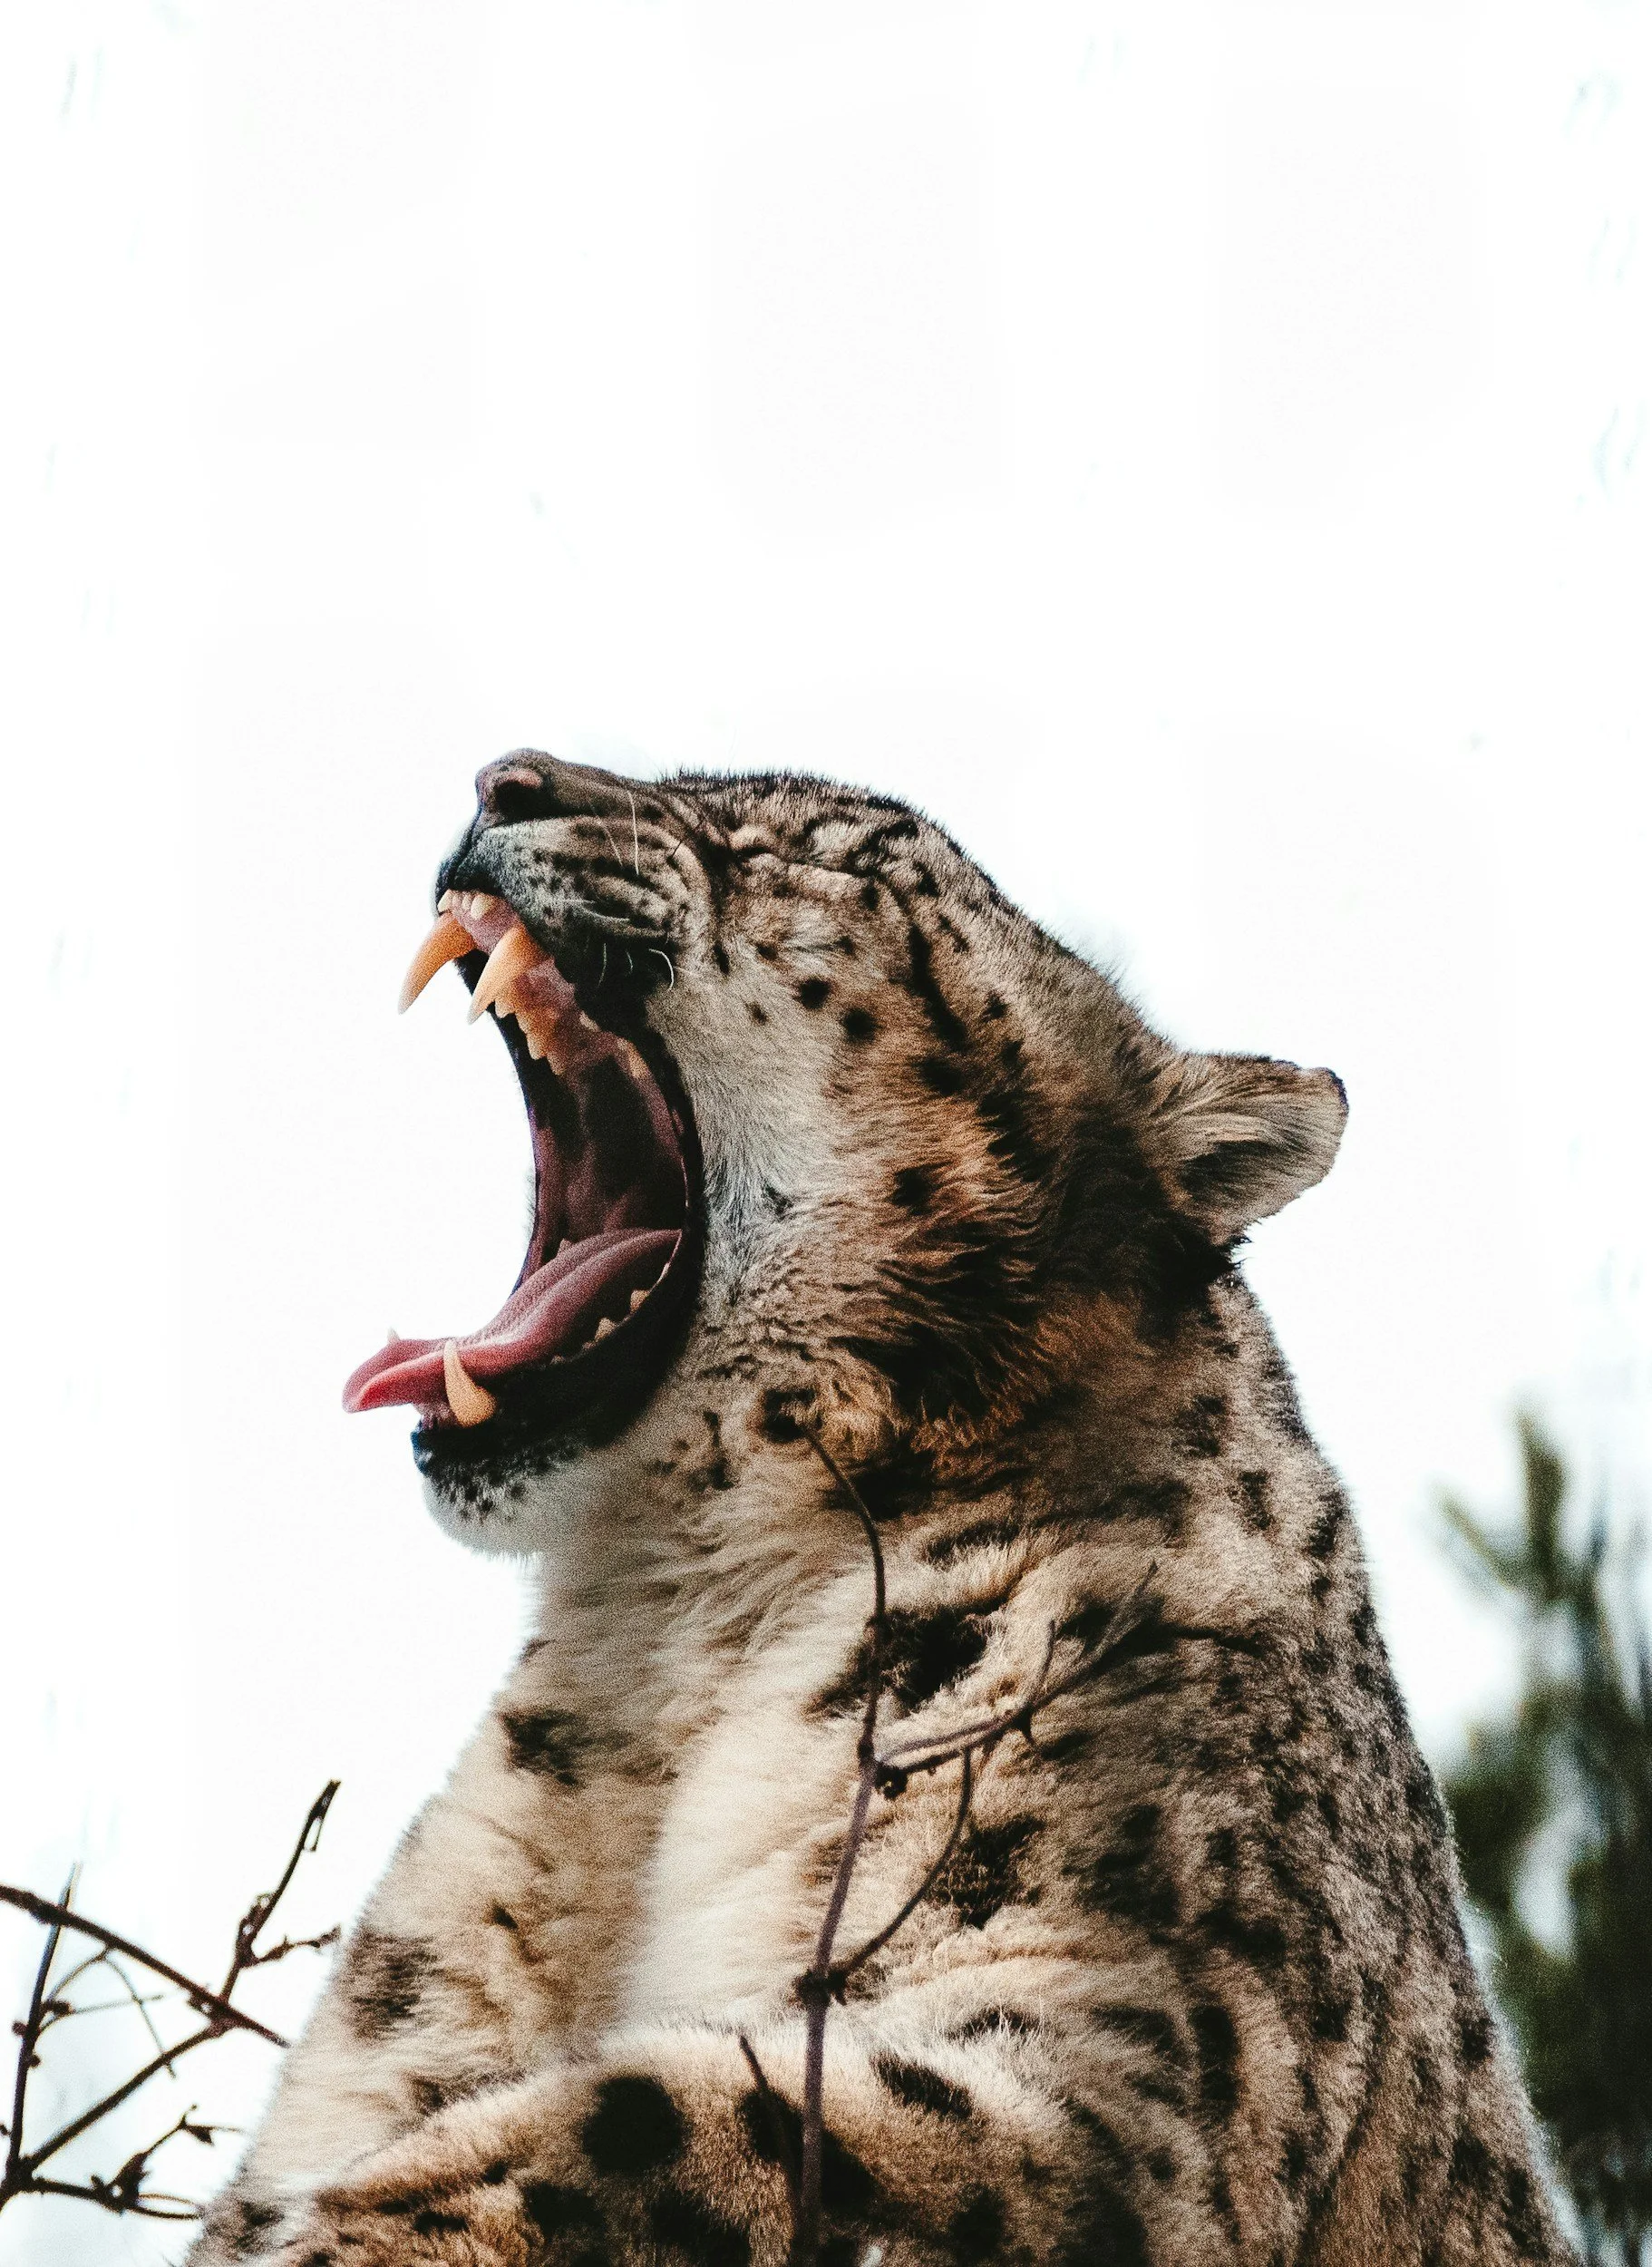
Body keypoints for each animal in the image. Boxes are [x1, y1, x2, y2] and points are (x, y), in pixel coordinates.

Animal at [190, 752, 1571, 2266]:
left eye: (813, 851)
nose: (506, 778)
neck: (674, 1643)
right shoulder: (428, 1990)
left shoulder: (1117, 2042)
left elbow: (667, 2120)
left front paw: (335, 2230)